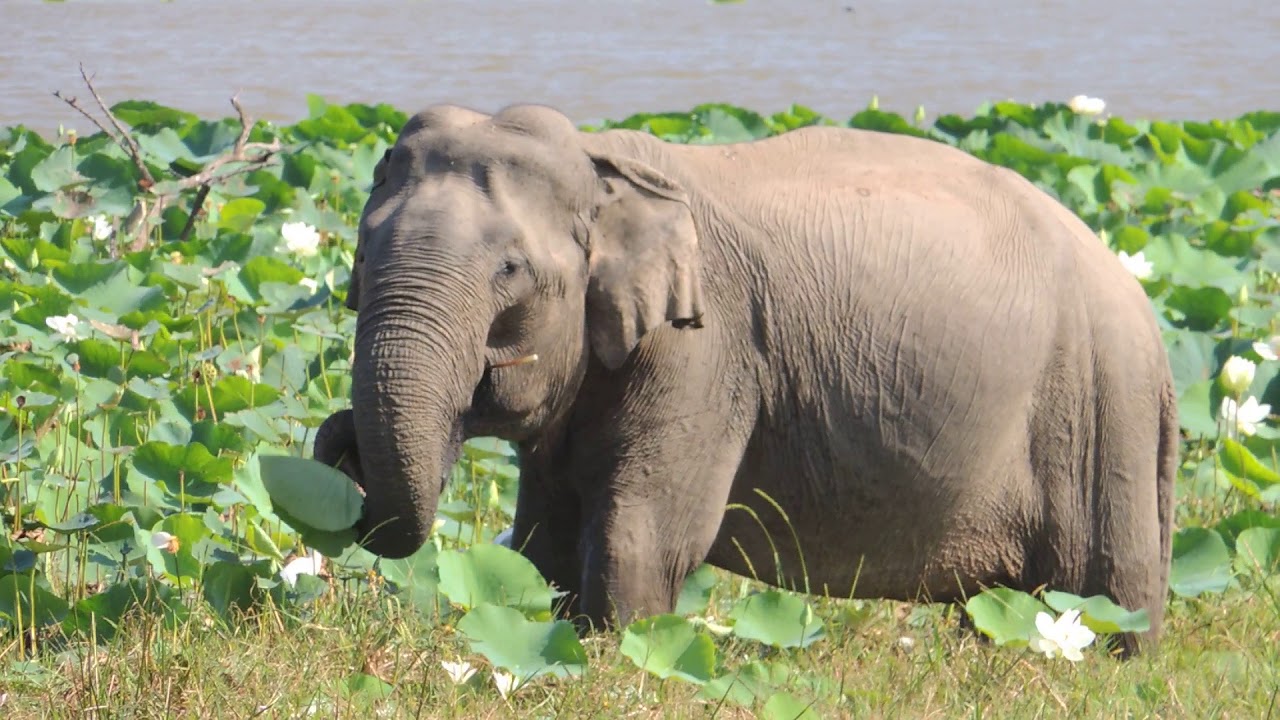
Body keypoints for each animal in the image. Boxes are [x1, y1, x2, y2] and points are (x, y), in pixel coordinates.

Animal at [313, 103, 1177, 654]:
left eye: (510, 270)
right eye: (359, 255)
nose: (335, 440)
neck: (603, 163)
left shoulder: (707, 348)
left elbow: (644, 537)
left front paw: (618, 662)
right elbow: (541, 542)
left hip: (1103, 416)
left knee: (1104, 595)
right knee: (1007, 610)